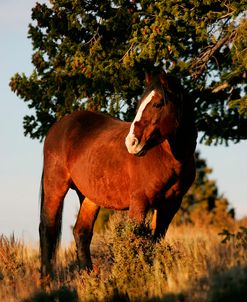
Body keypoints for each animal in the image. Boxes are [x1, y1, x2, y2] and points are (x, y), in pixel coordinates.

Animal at [39, 71, 197, 278]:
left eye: (157, 104)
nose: (131, 142)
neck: (167, 158)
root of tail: (57, 127)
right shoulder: (140, 202)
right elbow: (135, 240)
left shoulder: (170, 205)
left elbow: (155, 240)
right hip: (55, 188)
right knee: (47, 230)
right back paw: (46, 279)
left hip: (90, 198)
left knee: (81, 233)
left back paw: (90, 278)